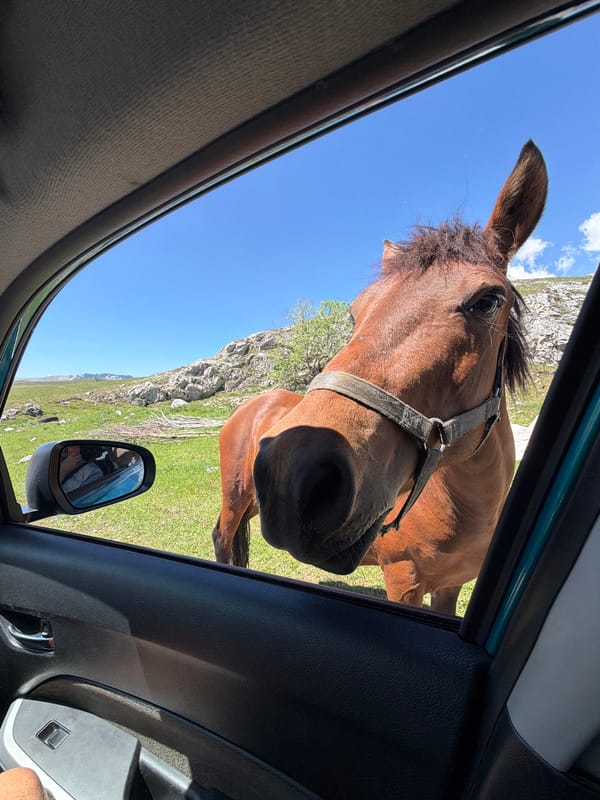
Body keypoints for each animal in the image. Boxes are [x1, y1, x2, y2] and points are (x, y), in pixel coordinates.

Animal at [213, 141, 547, 615]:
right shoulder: (403, 581)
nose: (290, 470)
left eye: (487, 301)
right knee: (223, 539)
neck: (463, 504)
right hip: (235, 498)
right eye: (356, 310)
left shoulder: (450, 587)